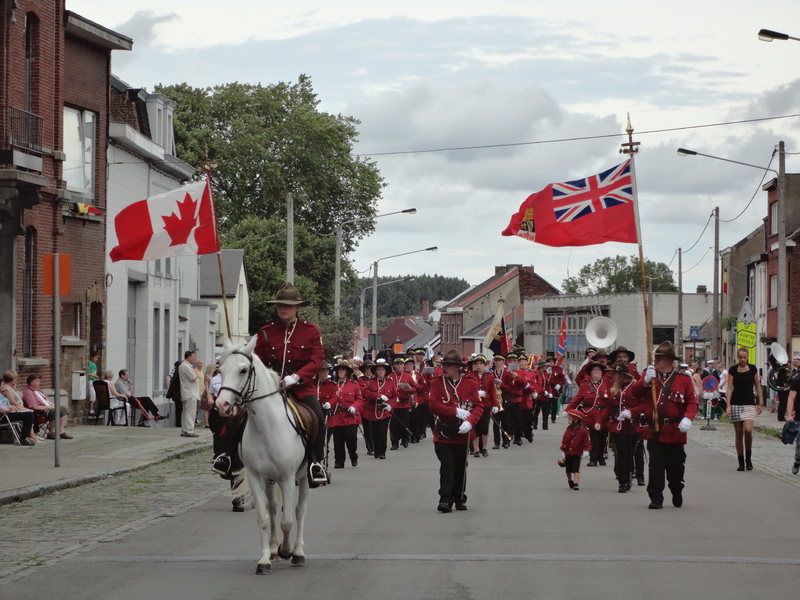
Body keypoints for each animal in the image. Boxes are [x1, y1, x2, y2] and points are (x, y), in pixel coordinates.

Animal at [216, 338, 310, 576]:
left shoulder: (288, 478)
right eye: (220, 369)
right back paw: (275, 550)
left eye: (243, 370)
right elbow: (264, 517)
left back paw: (297, 552)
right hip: (270, 481)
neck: (266, 426)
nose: (222, 404)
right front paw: (265, 559)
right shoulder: (256, 477)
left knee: (300, 511)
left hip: (305, 477)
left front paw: (287, 550)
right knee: (274, 509)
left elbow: (288, 520)